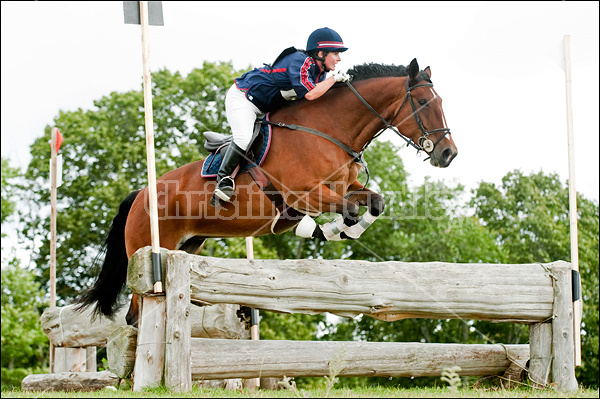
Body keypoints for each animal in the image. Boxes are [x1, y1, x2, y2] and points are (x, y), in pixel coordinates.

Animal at [77, 60, 458, 328]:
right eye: (423, 102)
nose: (448, 154)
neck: (330, 130)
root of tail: (140, 193)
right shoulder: (305, 195)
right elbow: (345, 209)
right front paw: (323, 229)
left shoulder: (346, 188)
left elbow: (374, 201)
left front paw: (343, 231)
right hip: (150, 250)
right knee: (135, 314)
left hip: (189, 244)